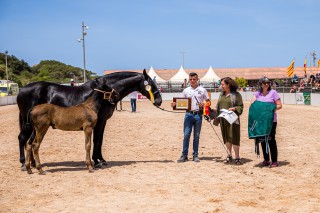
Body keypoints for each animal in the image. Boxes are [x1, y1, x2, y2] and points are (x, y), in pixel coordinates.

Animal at [17, 70, 162, 170]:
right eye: (150, 84)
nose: (159, 101)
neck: (101, 95)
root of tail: (21, 90)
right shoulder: (99, 122)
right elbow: (96, 140)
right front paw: (97, 161)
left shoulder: (103, 122)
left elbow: (100, 141)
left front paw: (100, 160)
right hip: (31, 124)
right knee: (22, 138)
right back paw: (24, 164)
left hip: (35, 126)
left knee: (30, 141)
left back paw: (33, 163)